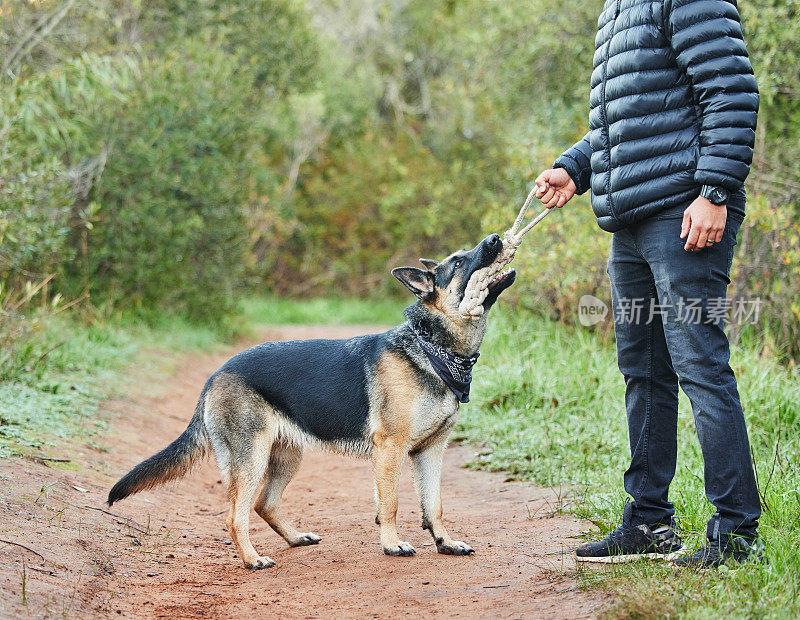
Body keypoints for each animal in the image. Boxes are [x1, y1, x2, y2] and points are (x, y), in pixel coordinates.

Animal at [109, 231, 516, 568]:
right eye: (459, 262)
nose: (496, 237)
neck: (432, 348)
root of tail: (216, 375)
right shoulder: (391, 450)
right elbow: (391, 504)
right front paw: (392, 544)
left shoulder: (430, 452)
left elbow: (435, 505)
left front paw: (445, 542)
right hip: (251, 459)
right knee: (235, 516)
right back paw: (252, 559)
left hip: (287, 456)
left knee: (264, 504)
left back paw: (294, 538)